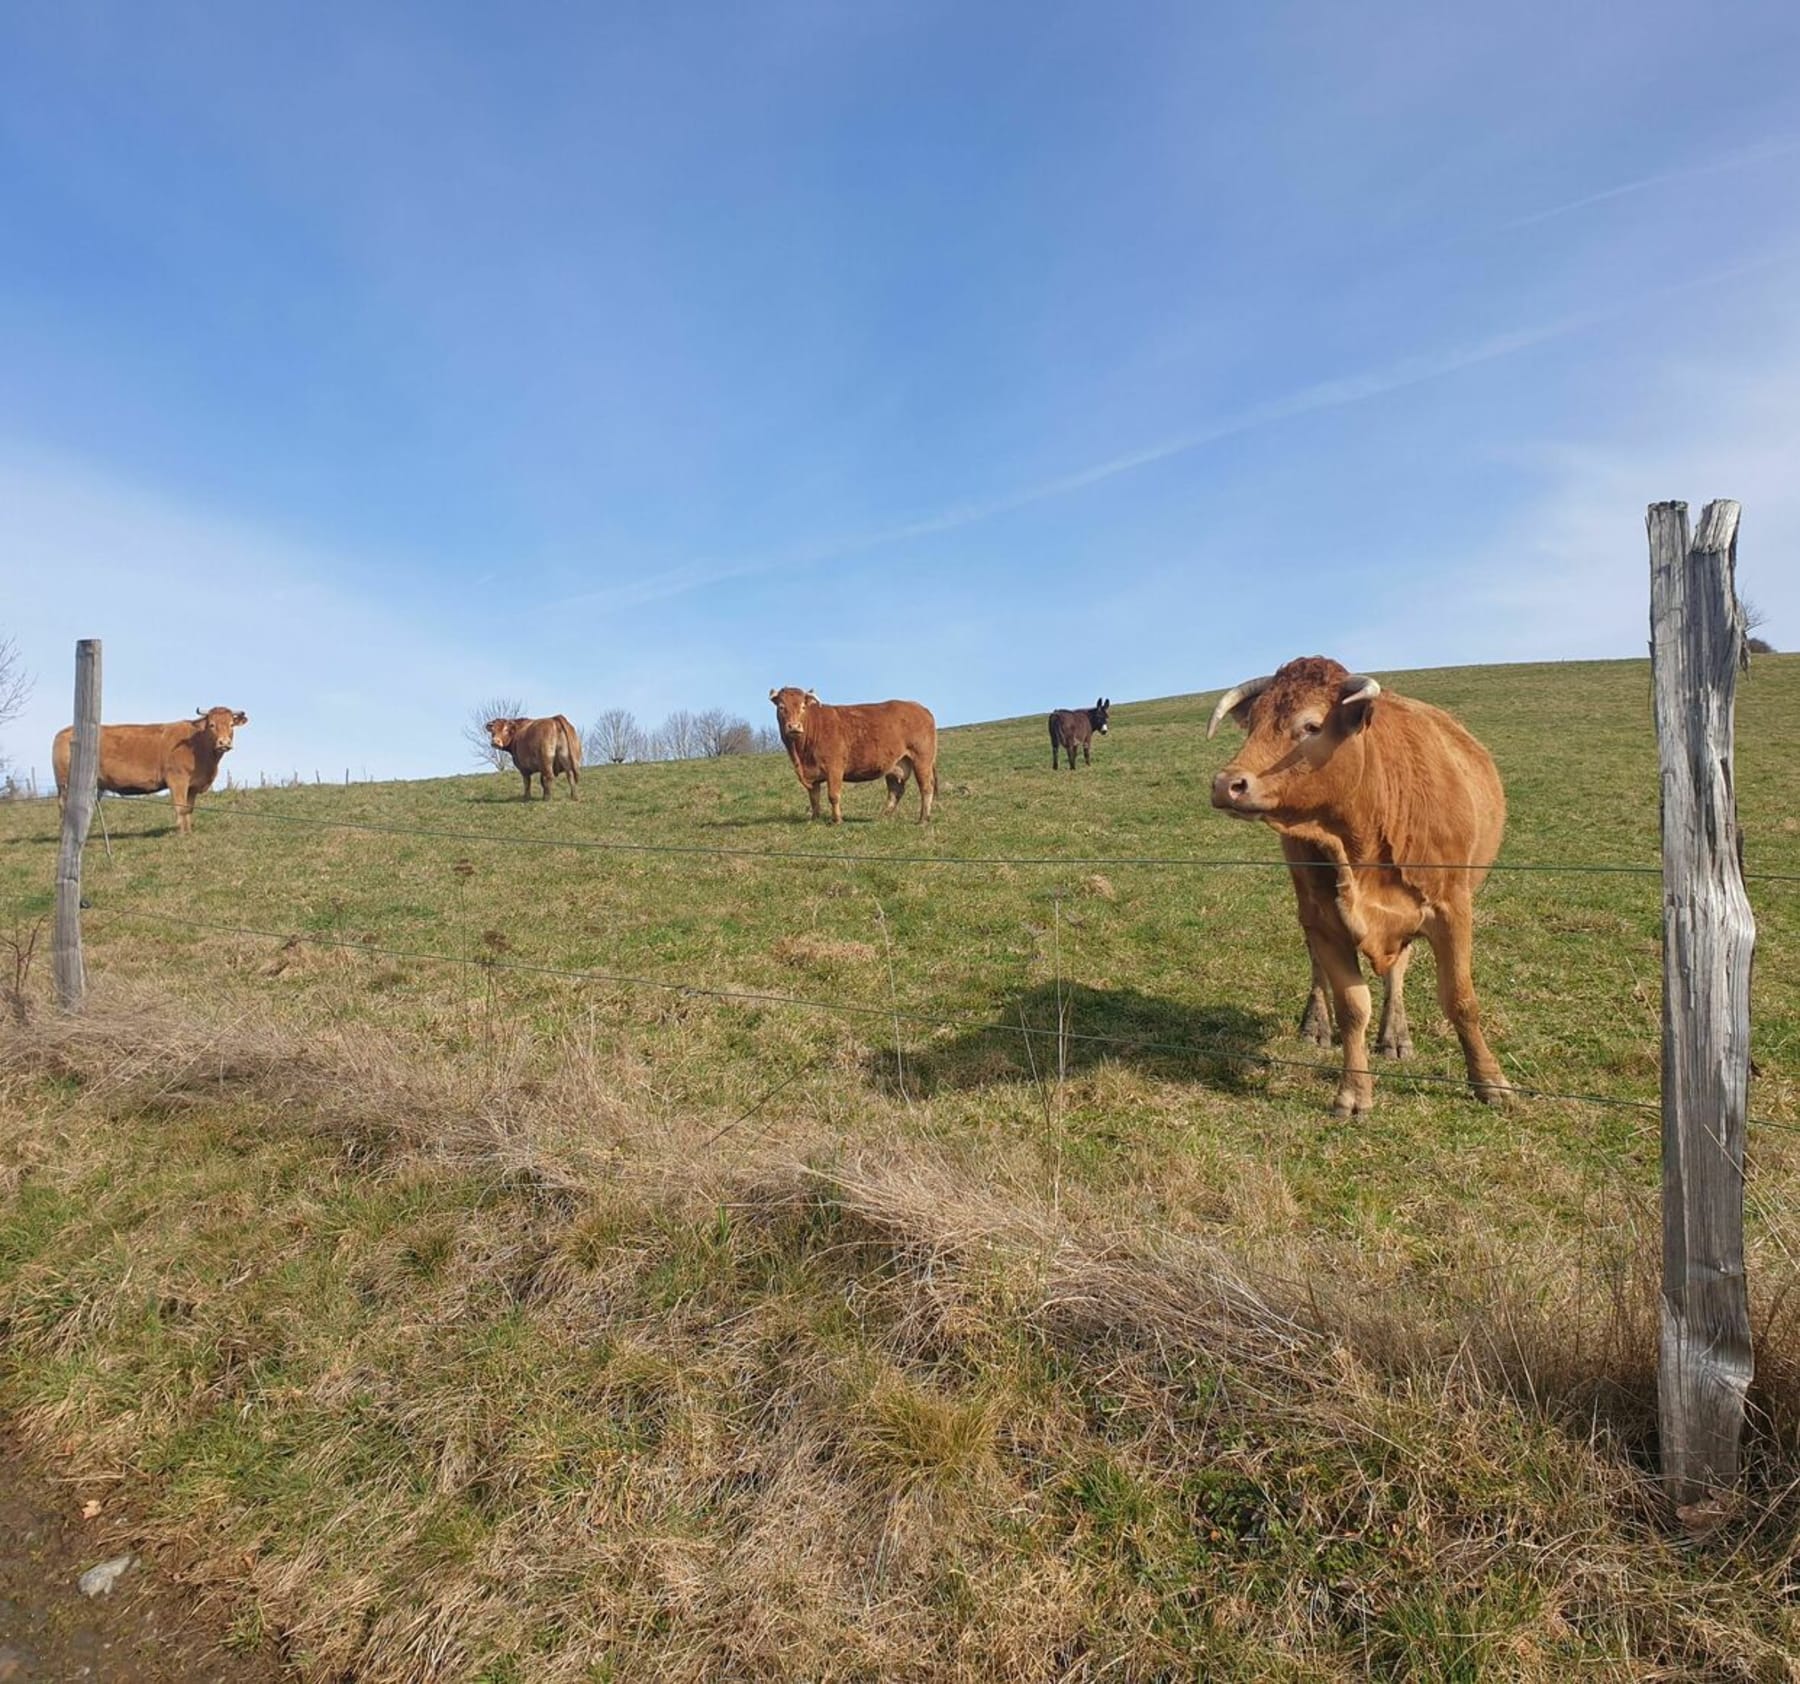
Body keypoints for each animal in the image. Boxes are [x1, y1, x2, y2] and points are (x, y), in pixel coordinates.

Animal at [53, 705, 250, 834]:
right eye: (212, 725)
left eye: (231, 725)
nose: (224, 743)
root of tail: (65, 731)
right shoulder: (177, 779)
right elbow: (180, 807)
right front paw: (181, 834)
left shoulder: (193, 785)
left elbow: (188, 808)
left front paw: (189, 832)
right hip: (66, 783)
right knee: (64, 806)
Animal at [770, 680, 943, 820]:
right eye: (781, 707)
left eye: (803, 706)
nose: (794, 727)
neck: (801, 755)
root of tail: (919, 707)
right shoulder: (811, 775)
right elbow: (814, 798)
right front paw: (814, 819)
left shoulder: (834, 767)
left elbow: (833, 795)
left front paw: (837, 820)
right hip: (898, 764)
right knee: (896, 790)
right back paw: (882, 817)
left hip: (922, 759)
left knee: (926, 787)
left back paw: (923, 819)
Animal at [1202, 658, 1512, 1115]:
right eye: (1253, 724)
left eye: (1311, 726)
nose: (1227, 784)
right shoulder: (1325, 919)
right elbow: (1351, 1006)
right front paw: (1353, 1092)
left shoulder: (1451, 908)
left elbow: (1460, 999)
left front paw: (1490, 1080)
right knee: (1318, 967)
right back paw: (1316, 1025)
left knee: (1398, 971)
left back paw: (1396, 1035)